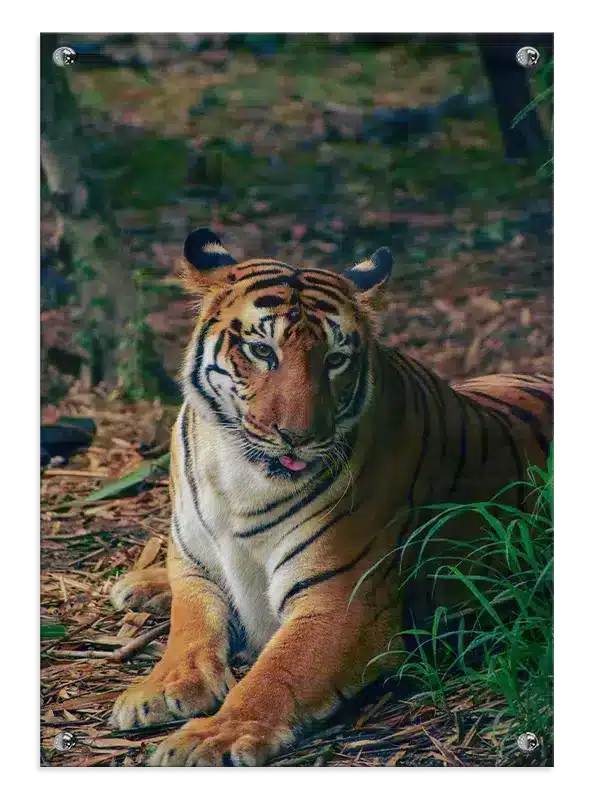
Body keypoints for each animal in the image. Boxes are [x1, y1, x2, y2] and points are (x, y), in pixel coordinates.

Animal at [108, 228, 554, 767]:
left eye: (335, 360)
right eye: (262, 351)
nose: (298, 437)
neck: (238, 478)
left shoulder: (340, 601)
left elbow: (274, 675)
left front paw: (211, 736)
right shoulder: (197, 565)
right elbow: (187, 629)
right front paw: (159, 688)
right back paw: (141, 583)